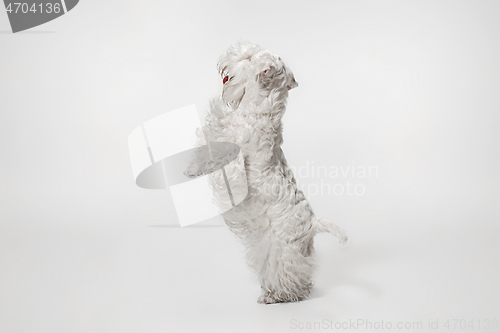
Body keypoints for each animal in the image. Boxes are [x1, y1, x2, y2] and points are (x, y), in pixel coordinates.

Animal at [187, 42, 348, 304]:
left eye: (250, 57)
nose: (223, 61)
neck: (255, 110)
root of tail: (313, 224)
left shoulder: (231, 156)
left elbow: (211, 149)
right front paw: (190, 169)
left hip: (282, 250)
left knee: (289, 274)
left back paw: (277, 296)